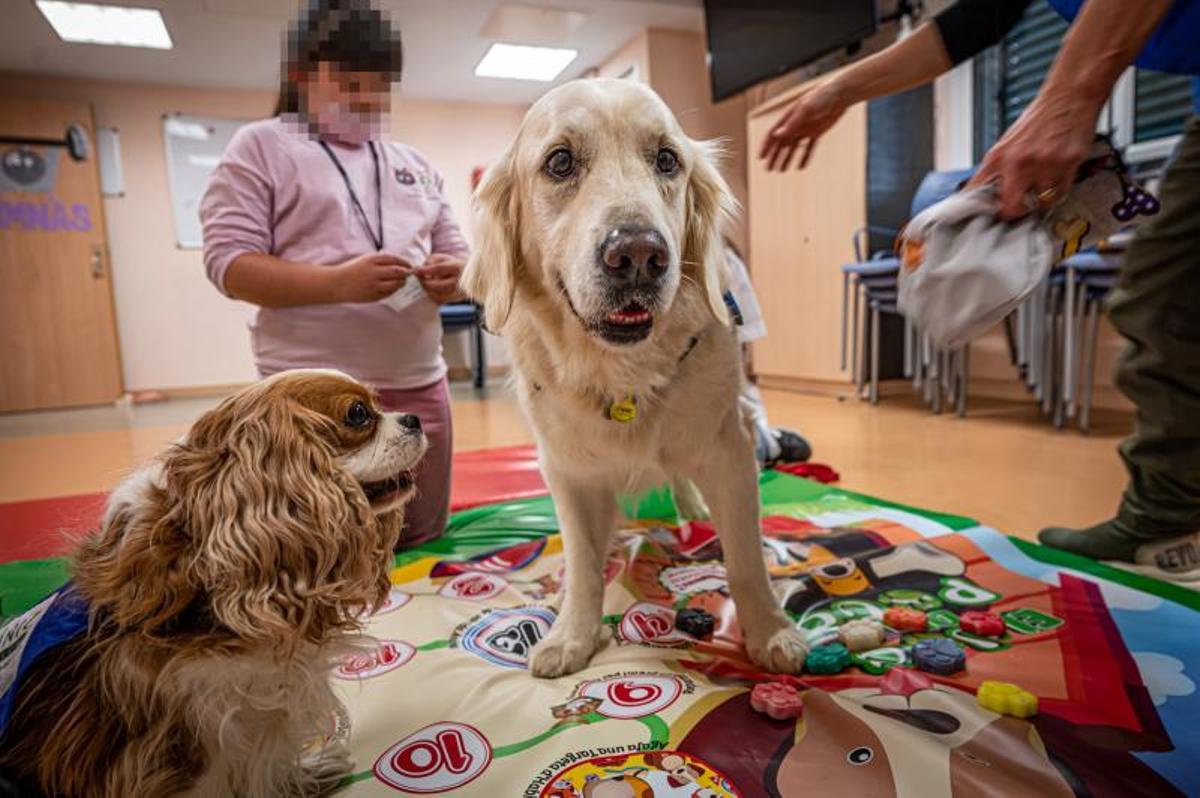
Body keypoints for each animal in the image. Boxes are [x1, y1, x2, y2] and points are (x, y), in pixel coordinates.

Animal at [458, 79, 806, 676]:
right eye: (560, 162)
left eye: (667, 160)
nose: (639, 255)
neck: (622, 374)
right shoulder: (567, 471)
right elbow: (581, 561)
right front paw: (572, 634)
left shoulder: (730, 448)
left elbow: (744, 557)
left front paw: (768, 631)